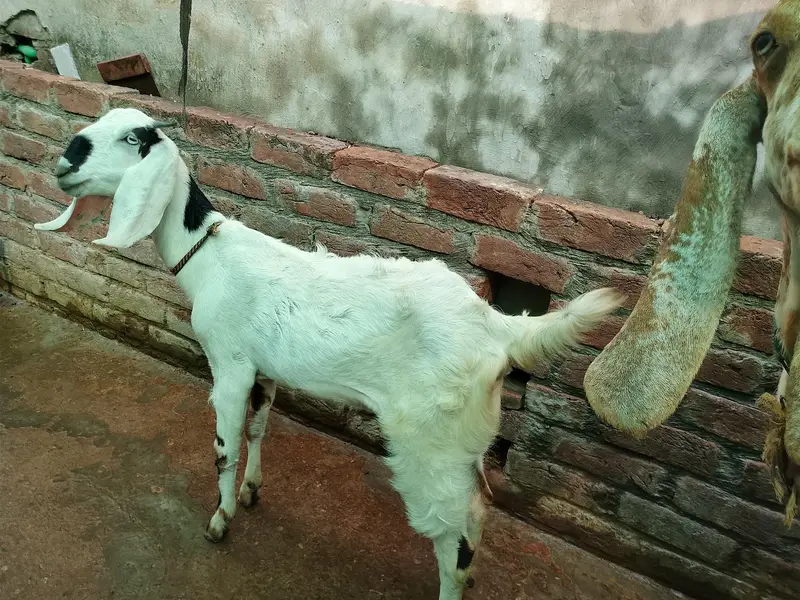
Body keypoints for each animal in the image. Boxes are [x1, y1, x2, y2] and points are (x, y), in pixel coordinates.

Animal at [36, 107, 623, 600]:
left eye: (133, 139)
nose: (64, 162)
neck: (208, 255)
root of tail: (498, 327)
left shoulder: (229, 363)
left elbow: (224, 447)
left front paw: (220, 518)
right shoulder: (264, 369)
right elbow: (258, 429)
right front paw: (251, 491)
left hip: (431, 436)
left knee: (455, 529)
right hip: (463, 438)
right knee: (477, 509)